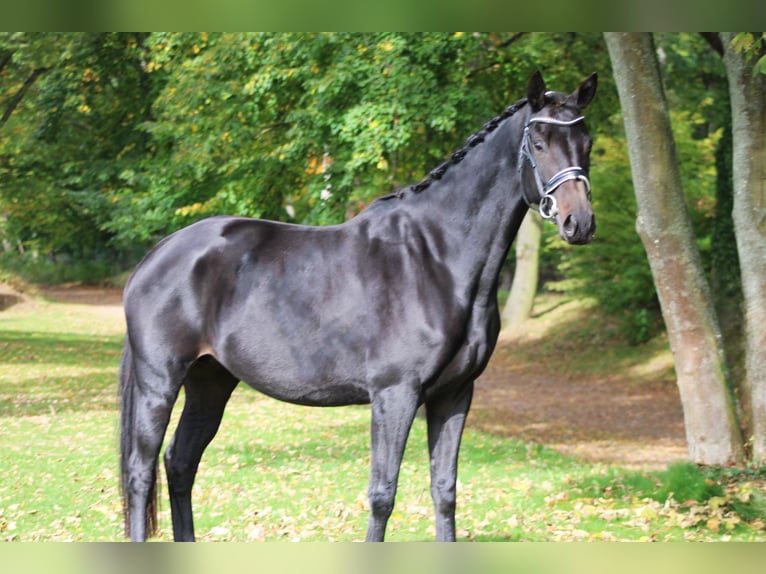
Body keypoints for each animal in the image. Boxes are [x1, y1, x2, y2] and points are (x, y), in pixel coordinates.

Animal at [118, 70, 600, 544]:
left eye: (587, 142)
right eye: (538, 142)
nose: (578, 223)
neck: (437, 256)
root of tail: (157, 254)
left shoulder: (455, 393)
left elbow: (444, 490)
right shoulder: (394, 394)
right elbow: (382, 494)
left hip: (210, 382)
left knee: (180, 462)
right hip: (160, 381)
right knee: (141, 472)